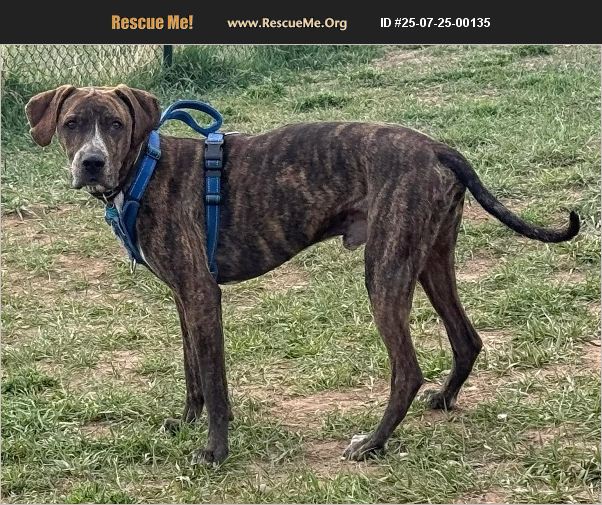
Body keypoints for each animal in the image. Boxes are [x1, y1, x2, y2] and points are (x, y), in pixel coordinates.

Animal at [25, 84, 580, 464]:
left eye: (115, 124)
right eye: (72, 123)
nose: (91, 163)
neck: (146, 169)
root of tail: (435, 147)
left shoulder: (202, 295)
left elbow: (215, 382)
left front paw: (216, 452)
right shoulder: (183, 299)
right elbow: (193, 374)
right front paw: (186, 423)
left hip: (385, 272)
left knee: (406, 370)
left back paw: (373, 443)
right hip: (431, 260)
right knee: (466, 338)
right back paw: (442, 400)